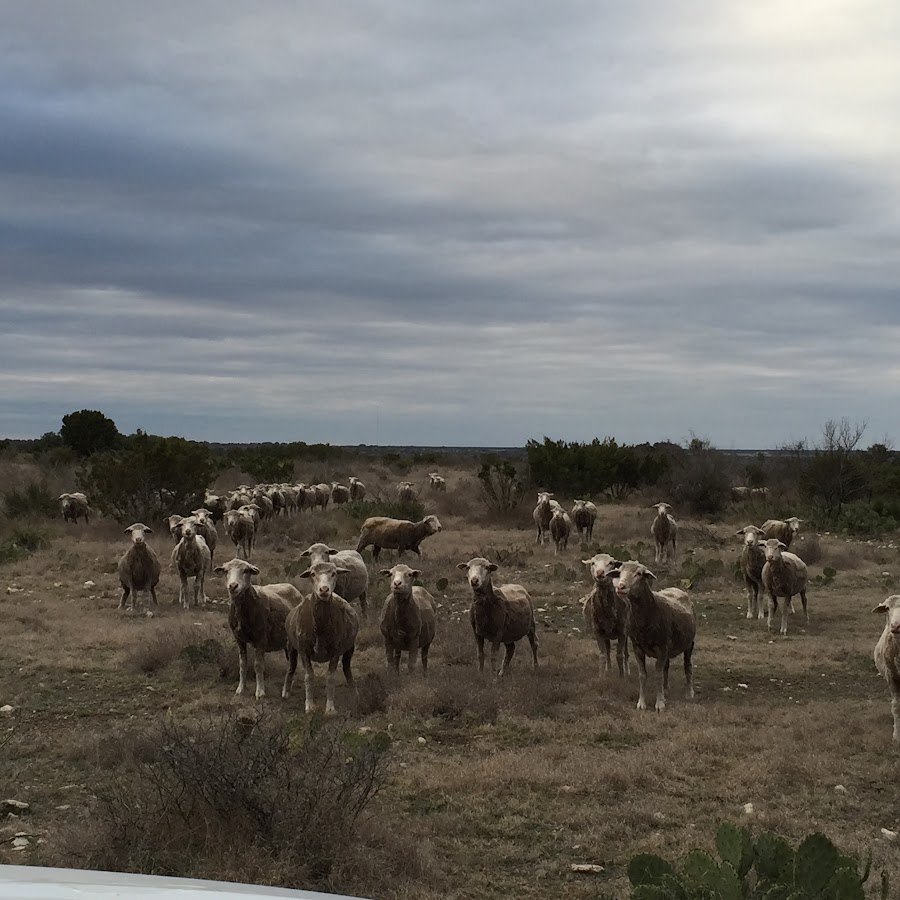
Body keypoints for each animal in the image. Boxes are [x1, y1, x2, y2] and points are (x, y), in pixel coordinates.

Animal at [215, 560, 306, 700]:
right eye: (225, 571)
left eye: (246, 570)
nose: (233, 586)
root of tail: (294, 588)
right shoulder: (238, 639)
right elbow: (242, 664)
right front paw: (240, 689)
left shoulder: (261, 638)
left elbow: (258, 666)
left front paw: (260, 692)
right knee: (291, 663)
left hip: (292, 641)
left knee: (292, 664)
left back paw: (285, 692)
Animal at [286, 560, 360, 712]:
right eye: (313, 574)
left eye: (334, 573)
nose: (324, 590)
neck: (320, 628)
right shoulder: (304, 651)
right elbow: (309, 677)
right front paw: (309, 706)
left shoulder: (335, 652)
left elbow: (330, 678)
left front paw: (330, 709)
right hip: (291, 646)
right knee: (291, 667)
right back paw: (286, 692)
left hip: (350, 648)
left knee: (347, 668)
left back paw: (354, 693)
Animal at [612, 560, 696, 712]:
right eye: (619, 572)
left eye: (639, 574)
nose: (620, 587)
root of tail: (676, 589)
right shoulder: (638, 648)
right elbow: (643, 675)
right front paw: (641, 703)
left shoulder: (662, 648)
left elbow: (657, 675)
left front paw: (660, 704)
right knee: (666, 668)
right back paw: (666, 690)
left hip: (689, 644)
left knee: (688, 666)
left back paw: (689, 692)